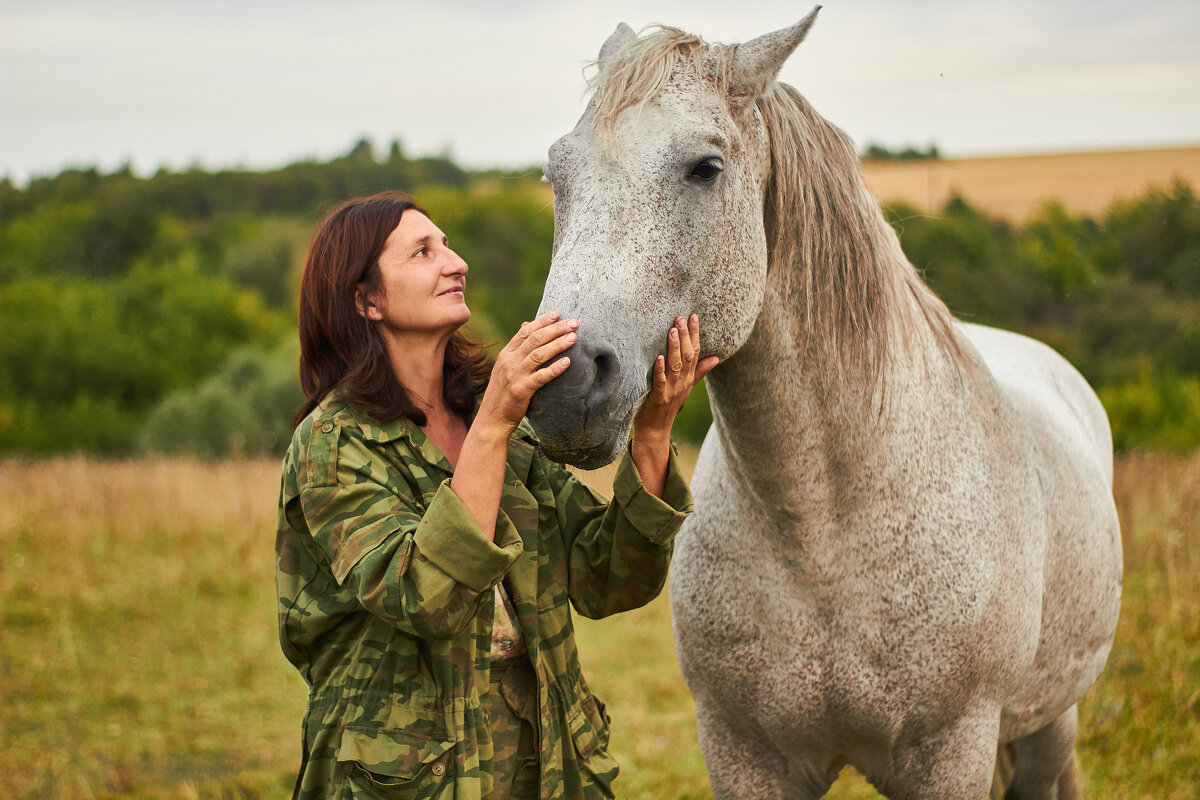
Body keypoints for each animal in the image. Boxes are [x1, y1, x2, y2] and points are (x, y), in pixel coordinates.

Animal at [530, 7, 1118, 800]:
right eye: (555, 175)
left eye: (706, 168)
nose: (563, 386)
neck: (819, 531)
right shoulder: (744, 755)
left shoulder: (953, 753)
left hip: (1049, 724)